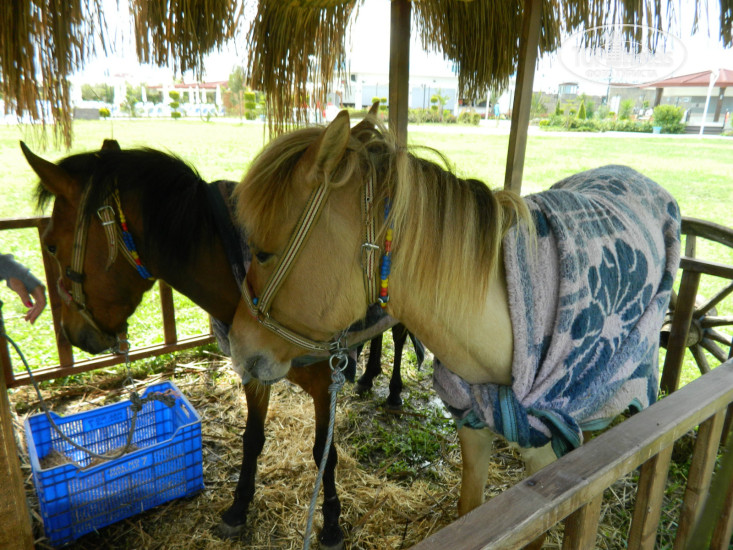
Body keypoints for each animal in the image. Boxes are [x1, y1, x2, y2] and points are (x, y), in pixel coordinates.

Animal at [21, 138, 401, 549]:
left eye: (50, 246)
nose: (71, 332)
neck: (249, 280)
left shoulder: (325, 383)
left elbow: (324, 453)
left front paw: (330, 524)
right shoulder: (252, 370)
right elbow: (253, 439)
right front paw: (238, 508)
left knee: (398, 336)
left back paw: (394, 391)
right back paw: (368, 377)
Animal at [226, 107, 682, 525]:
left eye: (262, 253)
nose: (237, 346)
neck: (499, 329)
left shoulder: (547, 460)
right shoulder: (472, 429)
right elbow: (469, 510)